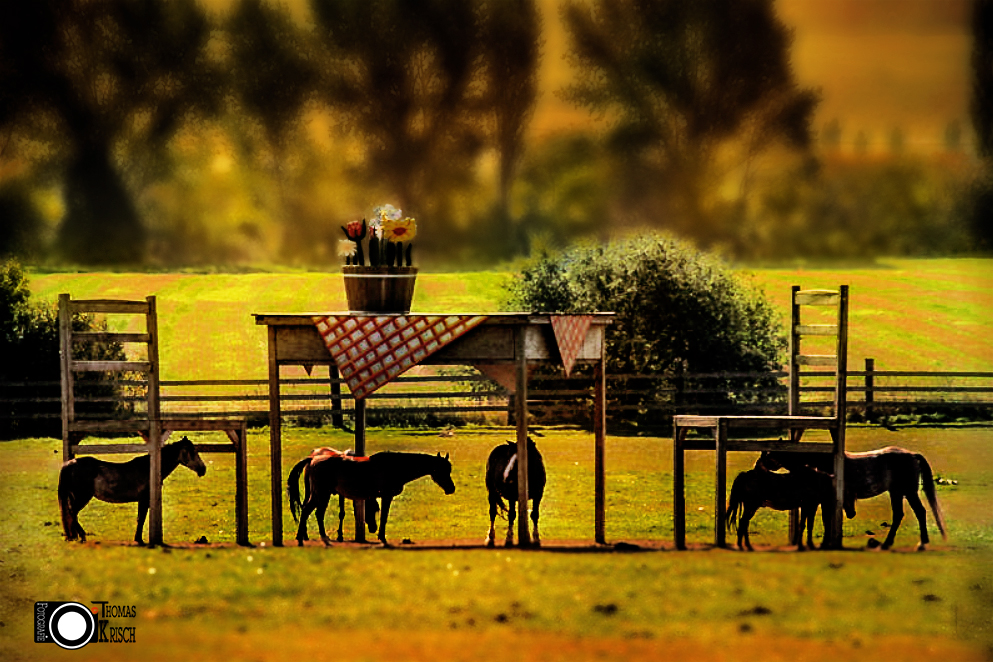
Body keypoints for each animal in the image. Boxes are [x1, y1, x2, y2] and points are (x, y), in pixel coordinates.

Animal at [57, 438, 206, 548]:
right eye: (192, 451)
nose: (203, 469)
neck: (149, 469)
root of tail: (69, 464)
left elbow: (140, 518)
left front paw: (138, 539)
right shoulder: (144, 499)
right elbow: (141, 519)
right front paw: (139, 540)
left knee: (71, 513)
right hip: (82, 496)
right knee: (72, 512)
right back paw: (82, 536)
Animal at [288, 452, 456, 548]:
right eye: (442, 470)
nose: (451, 488)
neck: (396, 465)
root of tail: (313, 459)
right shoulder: (387, 496)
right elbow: (384, 518)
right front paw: (382, 538)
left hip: (319, 494)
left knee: (308, 511)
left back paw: (303, 539)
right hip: (323, 494)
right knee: (316, 513)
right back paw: (322, 539)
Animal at [756, 448, 948, 552]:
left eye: (766, 456)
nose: (757, 467)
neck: (820, 464)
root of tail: (912, 455)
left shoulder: (826, 499)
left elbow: (826, 520)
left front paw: (824, 543)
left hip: (907, 491)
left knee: (920, 512)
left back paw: (921, 544)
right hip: (896, 492)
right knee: (899, 515)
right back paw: (887, 544)